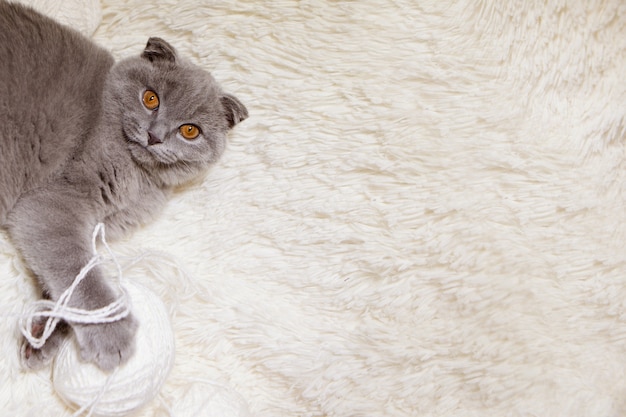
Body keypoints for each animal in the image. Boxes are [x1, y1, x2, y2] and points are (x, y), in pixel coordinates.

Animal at [0, 1, 247, 368]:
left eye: (190, 130)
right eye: (150, 99)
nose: (154, 135)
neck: (141, 180)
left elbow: (61, 273)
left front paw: (44, 334)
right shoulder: (53, 202)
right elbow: (77, 269)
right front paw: (111, 333)